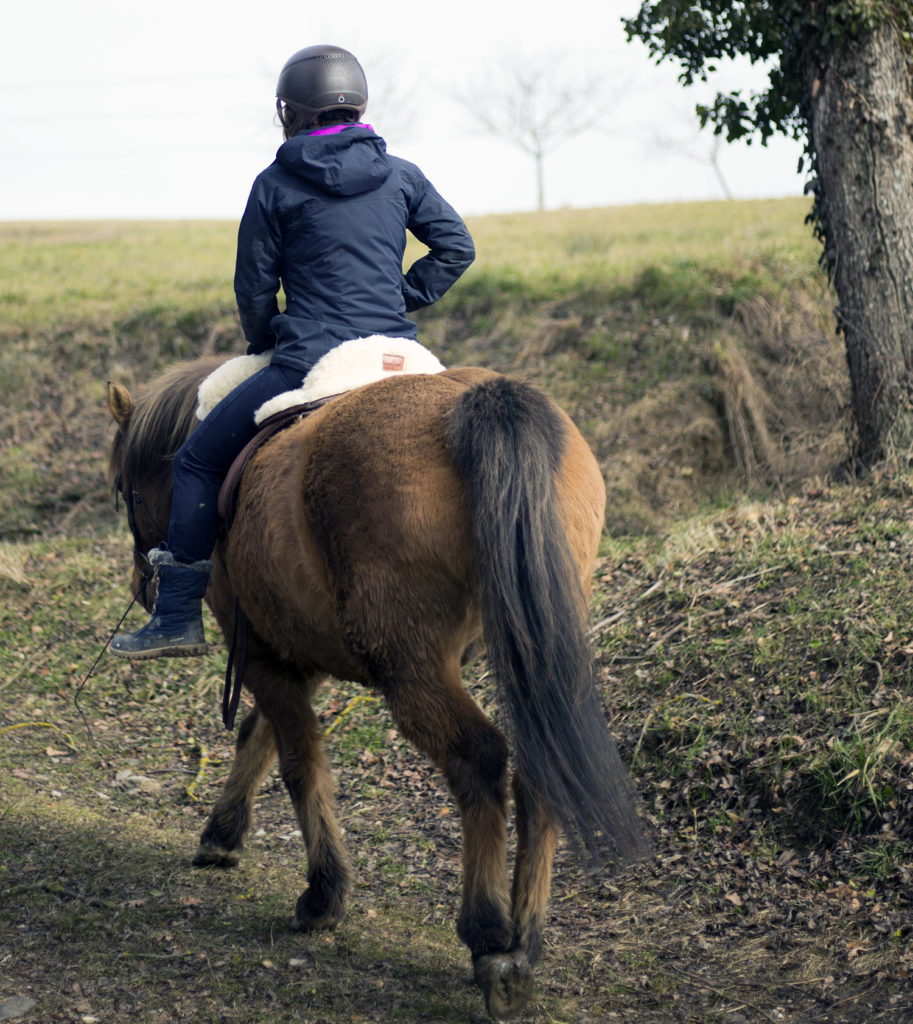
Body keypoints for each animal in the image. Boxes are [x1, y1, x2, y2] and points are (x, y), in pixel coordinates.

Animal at [105, 356, 650, 1019]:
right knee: (539, 766)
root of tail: (481, 400)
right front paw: (223, 832)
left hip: (410, 665)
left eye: (121, 488)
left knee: (478, 759)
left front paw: (323, 894)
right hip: (531, 645)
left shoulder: (260, 650)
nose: (144, 585)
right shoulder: (298, 647)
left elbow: (299, 761)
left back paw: (490, 938)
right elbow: (261, 735)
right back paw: (525, 941)